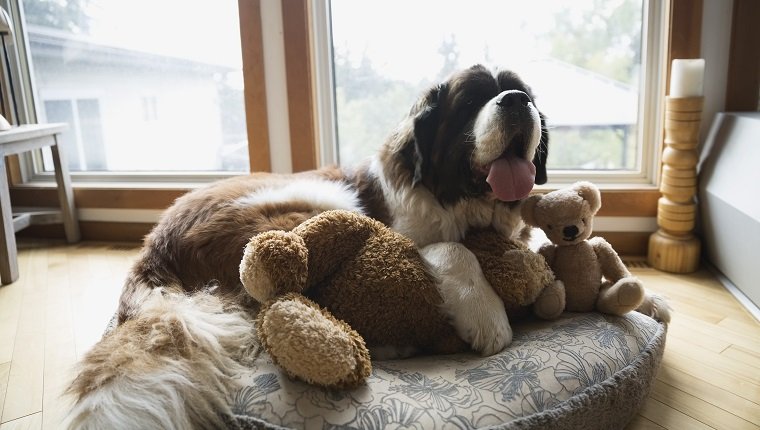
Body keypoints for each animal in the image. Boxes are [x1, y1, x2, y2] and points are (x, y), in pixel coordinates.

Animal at [67, 65, 552, 428]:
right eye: (470, 103)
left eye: (526, 94)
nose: (515, 100)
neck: (465, 205)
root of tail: (154, 246)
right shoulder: (406, 233)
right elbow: (454, 250)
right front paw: (485, 313)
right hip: (311, 211)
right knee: (274, 304)